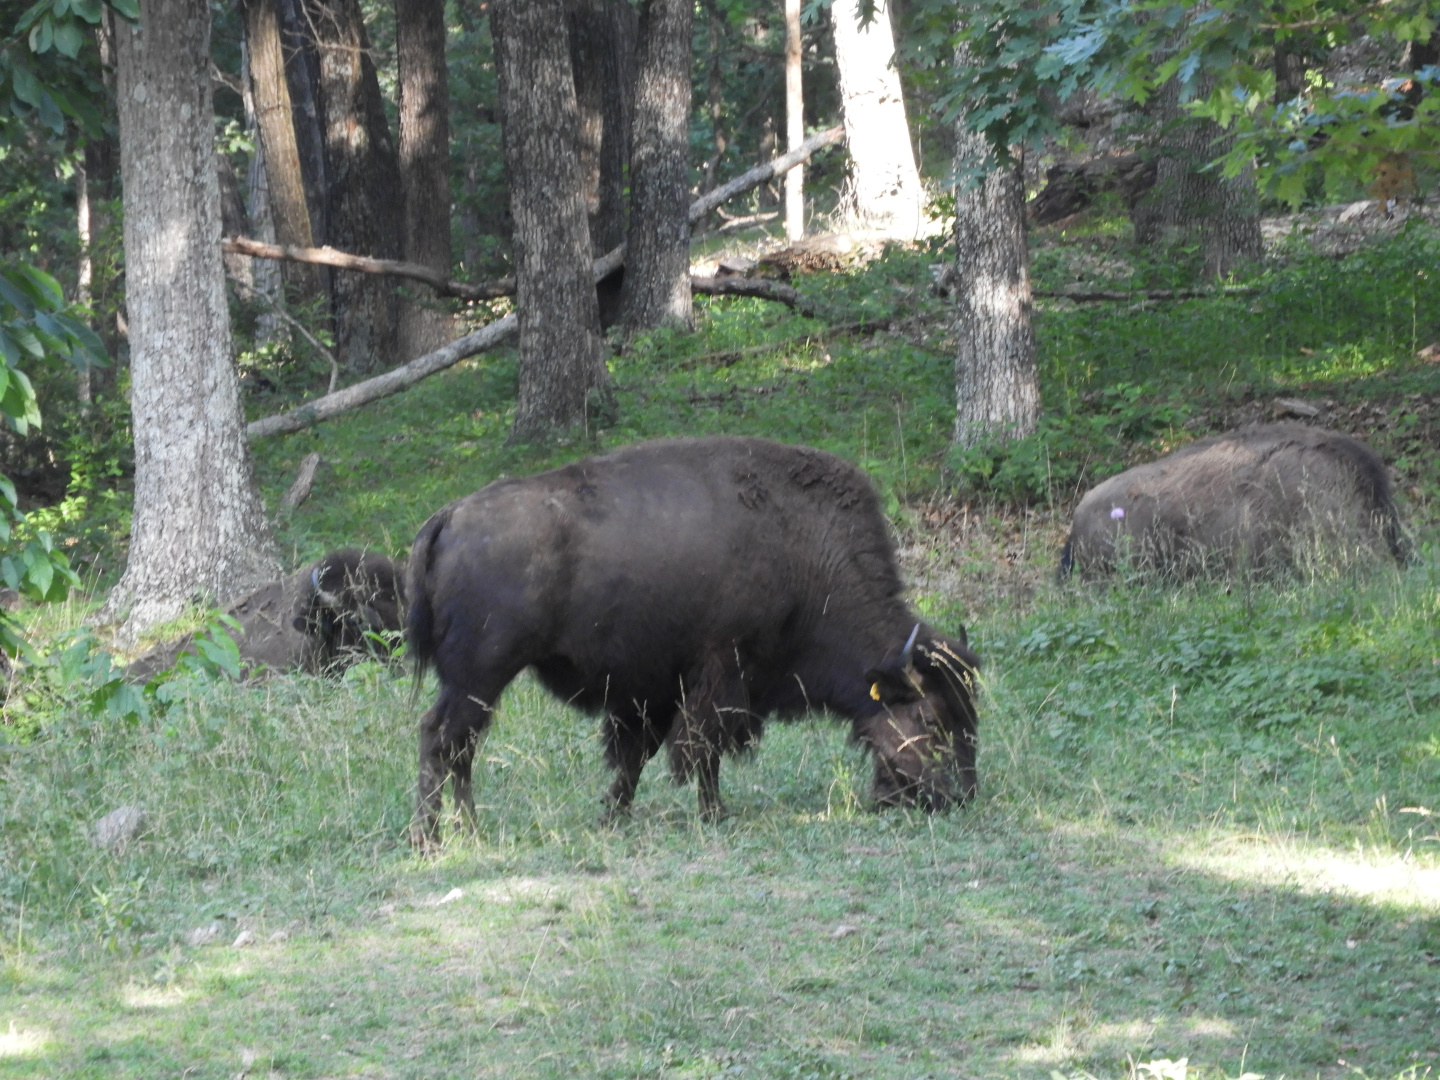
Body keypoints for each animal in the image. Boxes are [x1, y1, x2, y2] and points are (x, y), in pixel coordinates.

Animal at [406, 436, 980, 841]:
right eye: (932, 718)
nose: (960, 796)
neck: (807, 554)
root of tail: (448, 517)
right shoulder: (722, 673)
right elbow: (703, 748)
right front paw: (715, 813)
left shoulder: (655, 689)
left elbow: (637, 755)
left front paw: (614, 815)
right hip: (480, 674)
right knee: (442, 738)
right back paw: (434, 838)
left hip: (478, 682)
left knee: (458, 747)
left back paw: (467, 830)